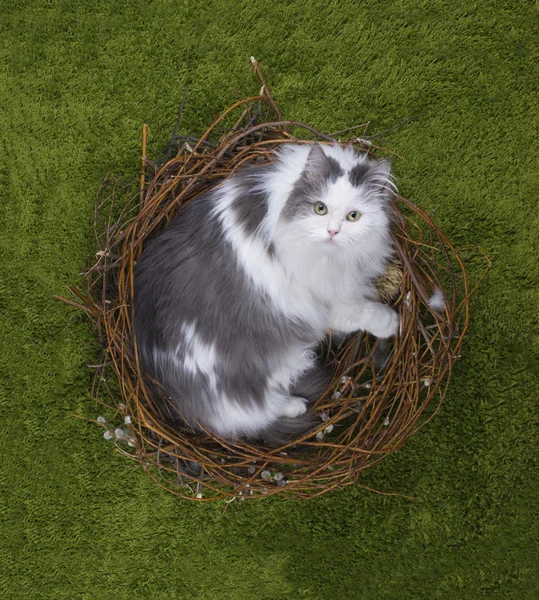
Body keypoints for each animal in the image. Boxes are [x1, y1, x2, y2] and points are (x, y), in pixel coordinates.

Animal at [133, 142, 398, 446]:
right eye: (320, 208)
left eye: (353, 216)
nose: (333, 231)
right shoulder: (316, 300)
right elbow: (359, 311)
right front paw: (391, 322)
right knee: (250, 411)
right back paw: (294, 406)